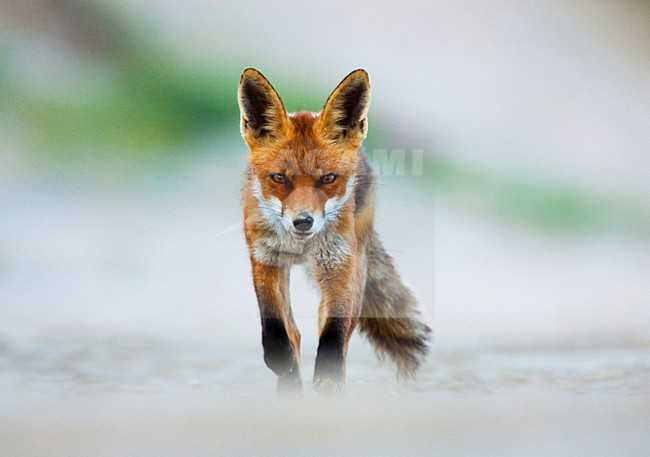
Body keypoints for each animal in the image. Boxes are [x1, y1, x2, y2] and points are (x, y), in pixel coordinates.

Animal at [238, 68, 431, 394]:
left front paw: (328, 378)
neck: (301, 247)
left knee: (337, 332)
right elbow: (274, 327)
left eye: (328, 179)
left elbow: (333, 334)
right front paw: (281, 361)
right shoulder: (265, 259)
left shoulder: (338, 266)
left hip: (356, 267)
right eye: (279, 179)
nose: (303, 221)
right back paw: (290, 385)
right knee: (295, 333)